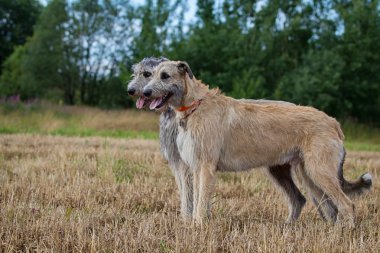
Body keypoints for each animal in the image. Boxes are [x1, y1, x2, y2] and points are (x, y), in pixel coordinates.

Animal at [142, 60, 372, 226]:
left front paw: (198, 226)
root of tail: (333, 122)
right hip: (305, 174)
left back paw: (344, 232)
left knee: (346, 204)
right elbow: (197, 198)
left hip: (319, 171)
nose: (145, 93)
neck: (195, 106)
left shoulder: (206, 166)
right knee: (326, 206)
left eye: (165, 76)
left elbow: (201, 201)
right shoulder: (197, 167)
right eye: (149, 75)